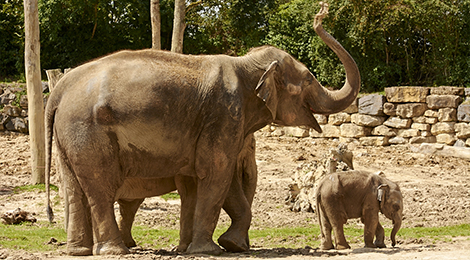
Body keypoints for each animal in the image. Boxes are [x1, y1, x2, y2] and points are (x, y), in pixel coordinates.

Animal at [45, 2, 360, 256]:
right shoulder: (223, 114)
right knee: (101, 185)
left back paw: (79, 251)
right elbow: (217, 173)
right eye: (307, 80)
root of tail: (59, 90)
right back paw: (115, 251)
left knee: (74, 186)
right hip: (88, 130)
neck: (247, 64)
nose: (321, 12)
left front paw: (215, 247)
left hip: (70, 134)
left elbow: (213, 180)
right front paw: (212, 249)